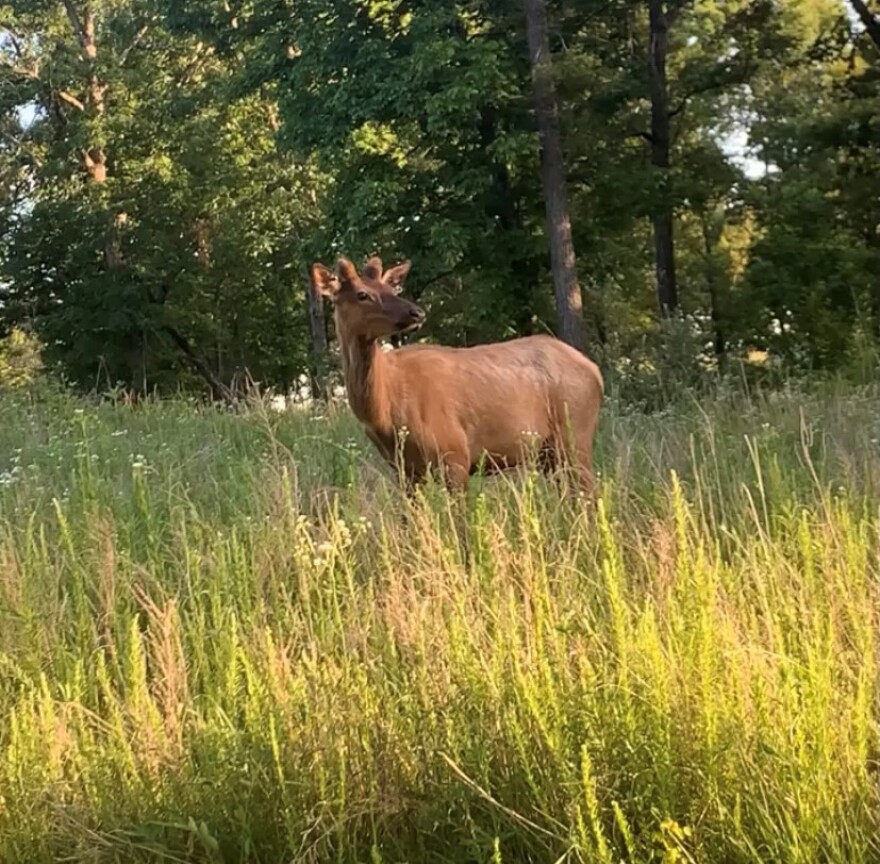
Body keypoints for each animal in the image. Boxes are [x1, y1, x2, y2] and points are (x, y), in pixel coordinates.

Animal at [310, 255, 604, 492]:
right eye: (362, 294)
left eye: (391, 287)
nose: (416, 312)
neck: (384, 411)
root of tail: (596, 372)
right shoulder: (403, 469)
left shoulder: (455, 453)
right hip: (550, 453)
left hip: (575, 435)